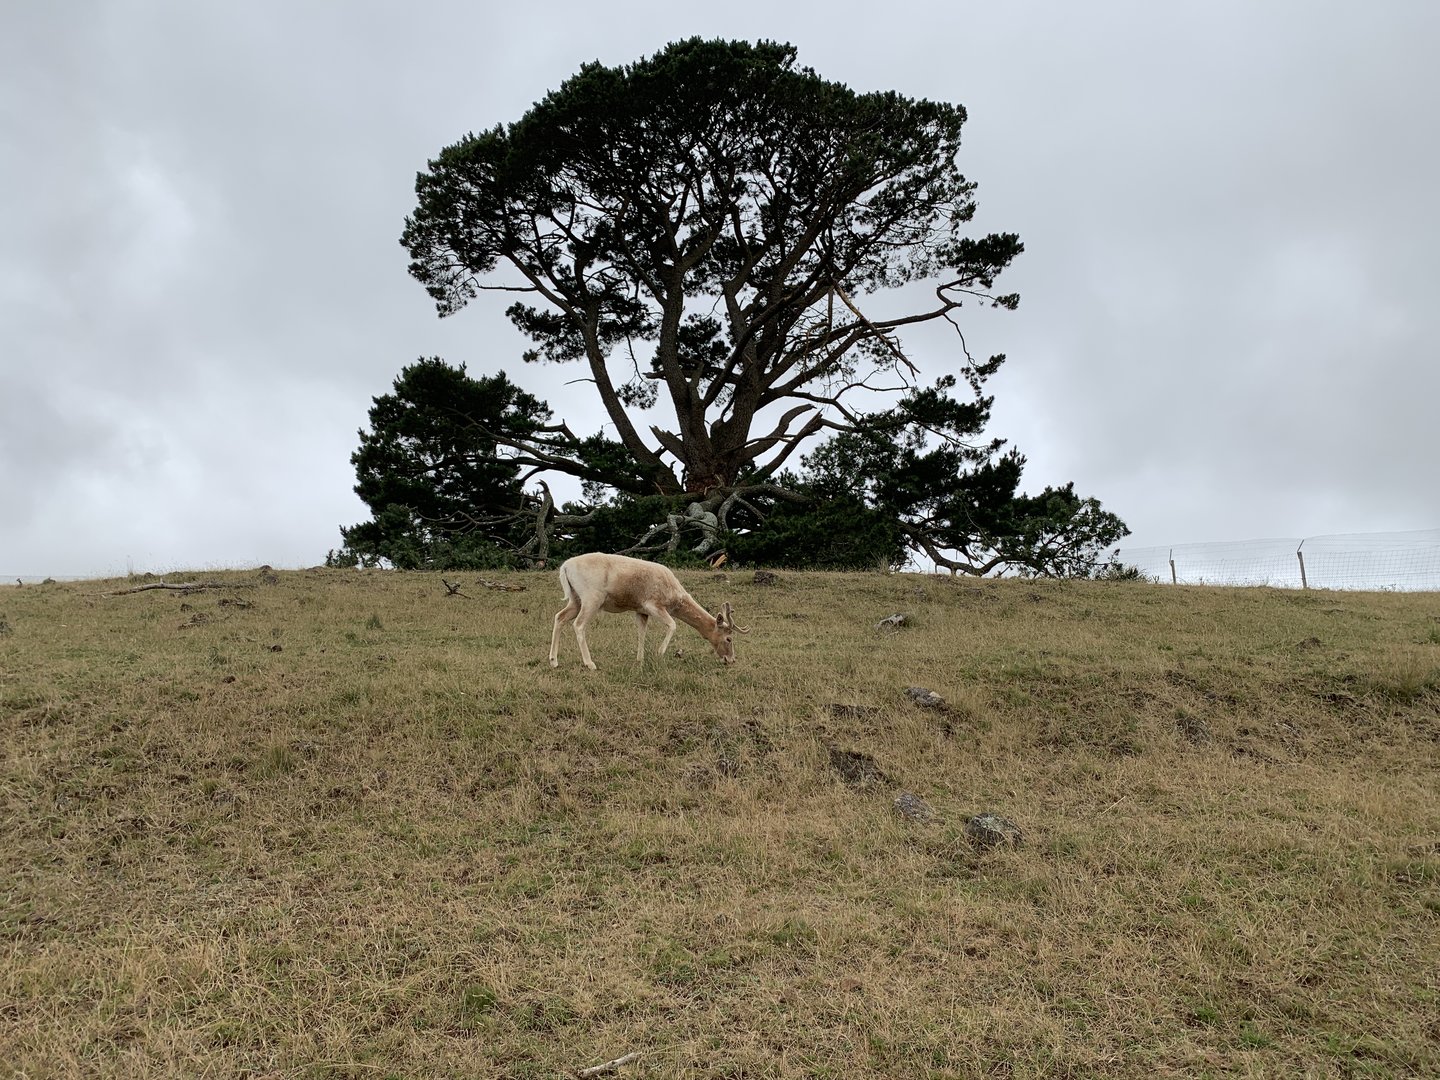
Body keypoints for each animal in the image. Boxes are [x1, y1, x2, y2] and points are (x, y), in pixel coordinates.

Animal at [549, 552, 748, 670]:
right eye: (729, 638)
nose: (731, 660)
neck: (674, 596)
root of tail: (564, 567)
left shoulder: (640, 610)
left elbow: (641, 632)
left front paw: (640, 660)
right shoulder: (653, 604)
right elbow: (673, 624)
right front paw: (659, 654)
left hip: (576, 599)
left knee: (559, 617)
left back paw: (554, 661)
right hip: (592, 597)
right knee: (578, 625)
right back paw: (590, 663)